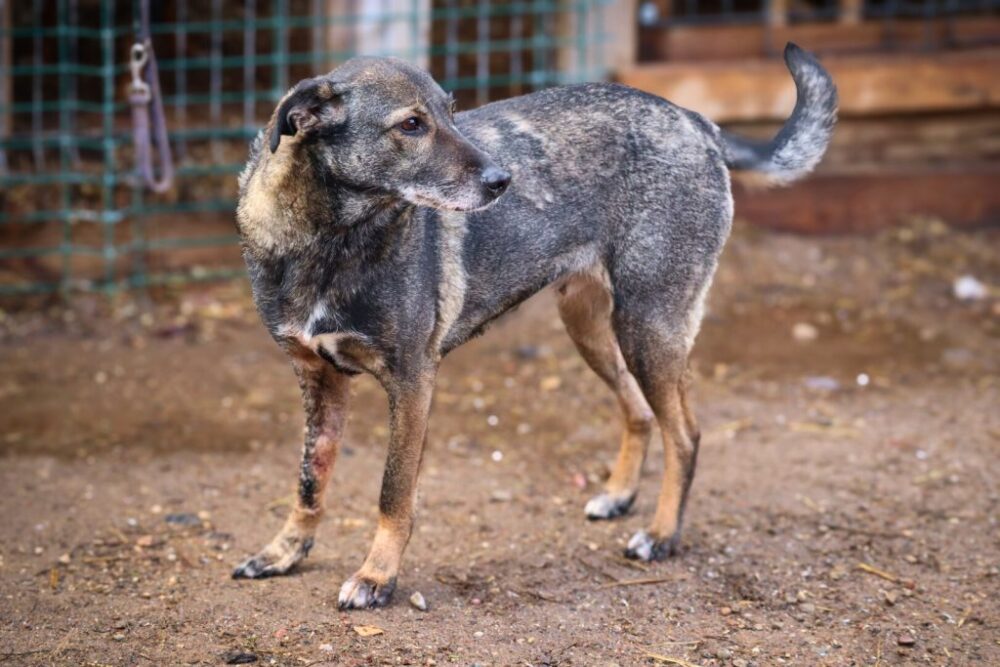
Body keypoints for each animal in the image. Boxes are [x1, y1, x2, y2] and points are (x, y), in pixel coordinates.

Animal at [231, 43, 836, 609]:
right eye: (411, 125)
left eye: (452, 111)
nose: (504, 180)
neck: (328, 241)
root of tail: (694, 120)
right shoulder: (318, 379)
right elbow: (311, 480)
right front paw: (284, 552)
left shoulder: (412, 382)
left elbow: (393, 492)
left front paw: (377, 577)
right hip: (592, 328)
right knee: (640, 411)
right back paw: (618, 496)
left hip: (649, 326)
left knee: (685, 434)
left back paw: (661, 535)